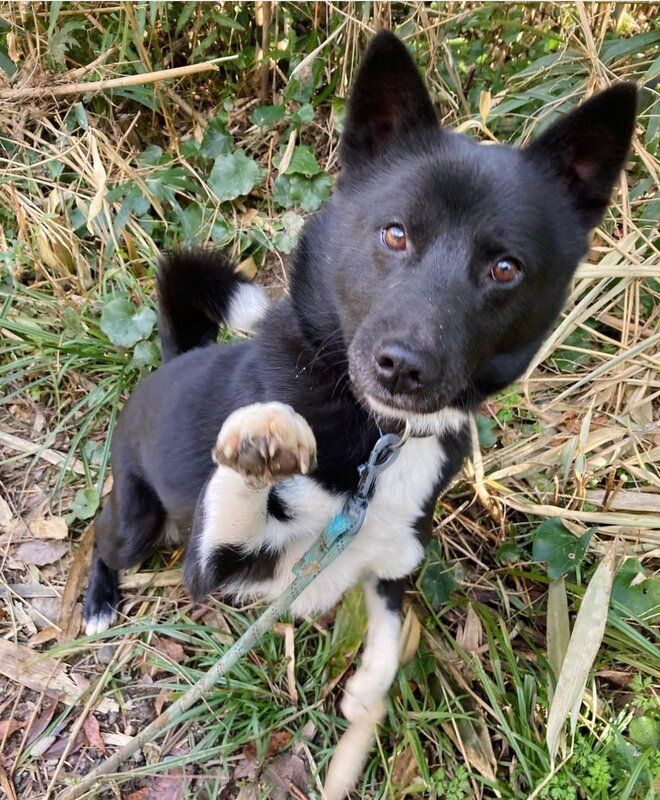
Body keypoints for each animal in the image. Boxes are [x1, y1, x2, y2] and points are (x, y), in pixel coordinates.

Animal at [81, 26, 636, 780]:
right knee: (100, 537)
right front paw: (262, 436)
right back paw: (99, 601)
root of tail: (173, 358)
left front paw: (364, 701)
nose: (402, 366)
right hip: (139, 523)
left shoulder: (394, 565)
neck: (380, 435)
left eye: (504, 268)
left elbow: (388, 643)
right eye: (395, 233)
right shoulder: (219, 570)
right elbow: (235, 494)